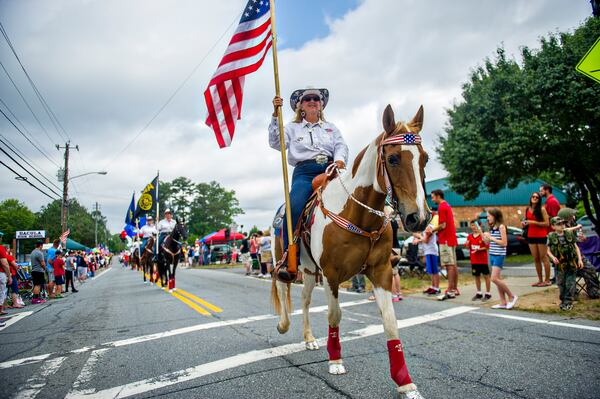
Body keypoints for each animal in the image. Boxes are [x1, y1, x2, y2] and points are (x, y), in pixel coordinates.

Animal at [272, 104, 432, 398]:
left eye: (424, 159)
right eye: (393, 158)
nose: (419, 218)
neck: (358, 214)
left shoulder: (381, 272)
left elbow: (390, 322)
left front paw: (405, 381)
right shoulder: (332, 275)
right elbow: (335, 315)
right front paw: (335, 360)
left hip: (309, 271)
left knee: (305, 300)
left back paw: (309, 338)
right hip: (285, 262)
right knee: (281, 285)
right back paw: (283, 325)